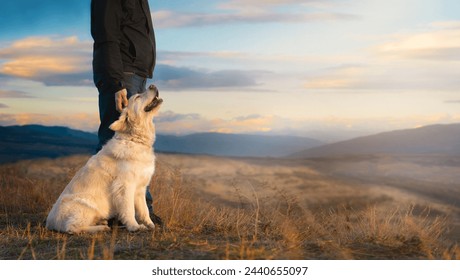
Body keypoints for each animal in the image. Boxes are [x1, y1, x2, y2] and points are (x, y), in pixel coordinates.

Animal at [45, 84, 164, 233]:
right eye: (137, 97)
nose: (152, 85)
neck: (135, 140)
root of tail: (49, 223)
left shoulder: (140, 188)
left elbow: (144, 210)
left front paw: (150, 224)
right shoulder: (125, 186)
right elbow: (129, 210)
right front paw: (134, 226)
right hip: (85, 206)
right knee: (73, 228)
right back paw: (101, 227)